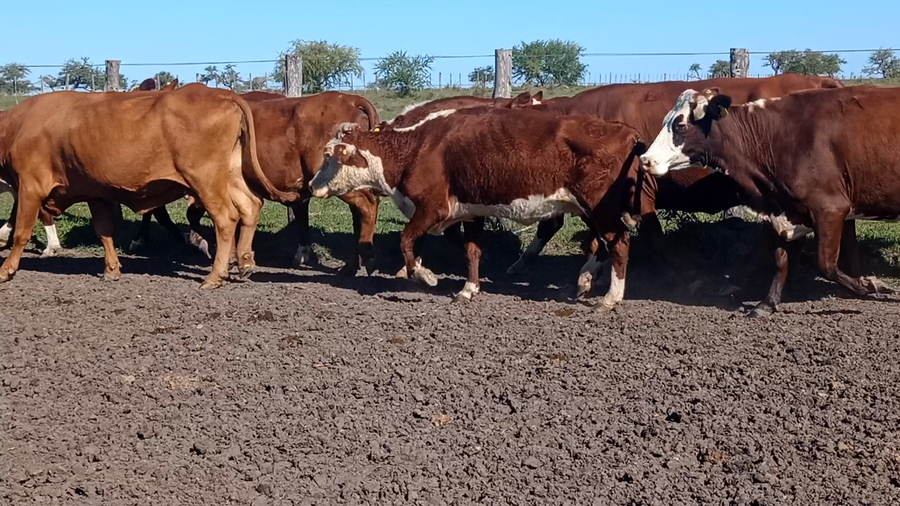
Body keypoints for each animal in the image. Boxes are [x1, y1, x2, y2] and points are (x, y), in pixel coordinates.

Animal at [0, 83, 298, 287]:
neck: (18, 125)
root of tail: (220, 93)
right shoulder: (95, 192)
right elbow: (104, 231)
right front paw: (111, 270)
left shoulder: (30, 186)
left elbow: (21, 232)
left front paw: (6, 269)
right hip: (231, 174)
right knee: (250, 206)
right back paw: (245, 262)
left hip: (205, 179)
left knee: (226, 219)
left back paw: (215, 276)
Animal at [309, 107, 644, 311]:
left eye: (330, 156)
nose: (312, 185)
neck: (416, 147)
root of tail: (625, 131)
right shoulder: (470, 212)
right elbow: (472, 251)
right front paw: (468, 289)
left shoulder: (432, 208)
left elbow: (406, 241)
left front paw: (426, 277)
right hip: (593, 210)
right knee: (603, 243)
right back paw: (583, 281)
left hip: (600, 208)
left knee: (619, 243)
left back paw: (609, 298)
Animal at [639, 86, 899, 316]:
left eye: (681, 125)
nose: (645, 159)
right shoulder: (787, 211)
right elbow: (782, 261)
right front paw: (766, 304)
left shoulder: (831, 209)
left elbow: (826, 265)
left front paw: (870, 285)